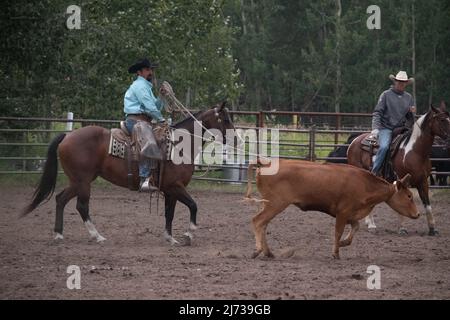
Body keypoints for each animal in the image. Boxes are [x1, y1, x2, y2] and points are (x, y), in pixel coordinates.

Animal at [21, 101, 236, 244]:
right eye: (225, 119)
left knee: (61, 199)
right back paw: (97, 236)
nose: (236, 140)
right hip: (82, 181)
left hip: (78, 181)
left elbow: (170, 213)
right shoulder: (175, 187)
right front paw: (189, 233)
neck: (179, 146)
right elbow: (193, 205)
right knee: (81, 206)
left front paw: (170, 238)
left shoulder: (170, 190)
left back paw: (59, 234)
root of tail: (68, 136)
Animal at [246, 159, 418, 258]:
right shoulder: (342, 213)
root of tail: (265, 165)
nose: (418, 214)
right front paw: (336, 252)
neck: (364, 184)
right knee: (257, 221)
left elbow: (355, 227)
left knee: (263, 225)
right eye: (409, 195)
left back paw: (268, 252)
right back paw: (257, 250)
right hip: (275, 203)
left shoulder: (351, 214)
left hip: (269, 203)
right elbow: (338, 232)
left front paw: (342, 243)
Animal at [346, 102, 448, 235]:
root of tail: (354, 142)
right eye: (442, 120)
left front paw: (432, 229)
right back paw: (371, 224)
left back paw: (369, 222)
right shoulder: (401, 179)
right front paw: (402, 228)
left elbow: (427, 205)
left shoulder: (423, 181)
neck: (415, 151)